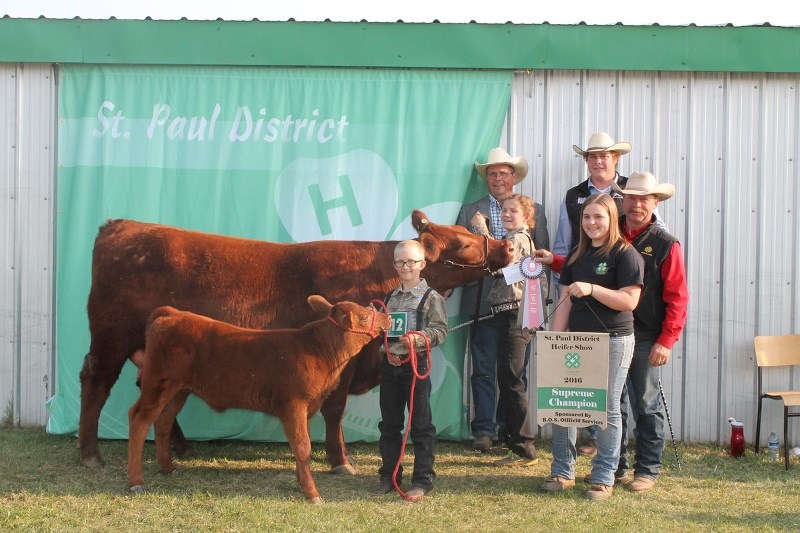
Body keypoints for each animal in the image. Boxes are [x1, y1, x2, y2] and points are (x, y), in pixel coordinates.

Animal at [79, 210, 512, 468]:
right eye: (466, 243)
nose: (508, 245)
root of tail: (122, 225)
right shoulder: (343, 362)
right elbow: (334, 410)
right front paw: (340, 460)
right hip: (110, 336)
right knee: (96, 381)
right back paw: (90, 453)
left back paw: (181, 447)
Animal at [128, 298, 390, 500]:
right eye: (364, 316)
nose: (387, 318)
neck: (317, 350)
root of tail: (171, 313)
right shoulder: (293, 404)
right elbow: (302, 446)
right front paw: (312, 493)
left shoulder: (305, 408)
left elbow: (300, 445)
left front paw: (301, 482)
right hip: (157, 383)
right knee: (139, 418)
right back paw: (136, 481)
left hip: (178, 390)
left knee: (163, 421)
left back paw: (168, 468)